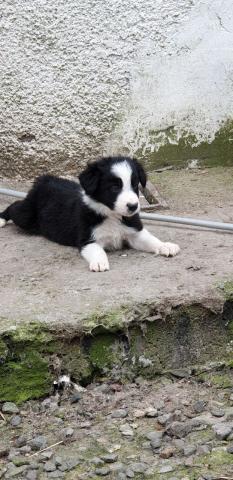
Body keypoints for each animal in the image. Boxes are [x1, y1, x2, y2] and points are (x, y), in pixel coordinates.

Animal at [0, 156, 180, 272]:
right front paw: (100, 262)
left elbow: (150, 239)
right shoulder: (87, 239)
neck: (111, 215)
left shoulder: (134, 232)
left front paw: (165, 245)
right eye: (114, 187)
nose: (133, 206)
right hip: (26, 216)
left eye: (135, 185)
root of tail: (46, 179)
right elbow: (97, 250)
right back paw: (1, 219)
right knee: (15, 207)